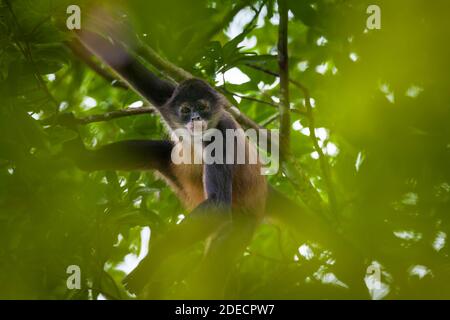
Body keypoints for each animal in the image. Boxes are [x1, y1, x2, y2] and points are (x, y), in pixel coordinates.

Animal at [67, 30, 268, 298]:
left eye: (203, 107)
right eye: (186, 109)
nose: (195, 117)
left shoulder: (224, 135)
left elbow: (216, 205)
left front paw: (153, 260)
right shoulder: (169, 97)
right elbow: (131, 70)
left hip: (242, 222)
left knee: (220, 252)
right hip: (178, 174)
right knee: (160, 152)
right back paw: (84, 159)